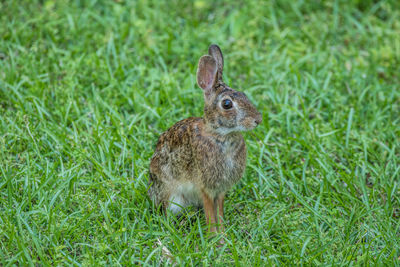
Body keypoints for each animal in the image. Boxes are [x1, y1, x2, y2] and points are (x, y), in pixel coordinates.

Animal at [148, 44, 262, 232]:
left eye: (244, 94)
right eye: (227, 104)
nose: (257, 120)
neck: (221, 135)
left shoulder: (220, 189)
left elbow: (219, 210)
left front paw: (223, 232)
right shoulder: (205, 186)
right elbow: (210, 212)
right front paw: (213, 235)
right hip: (172, 197)